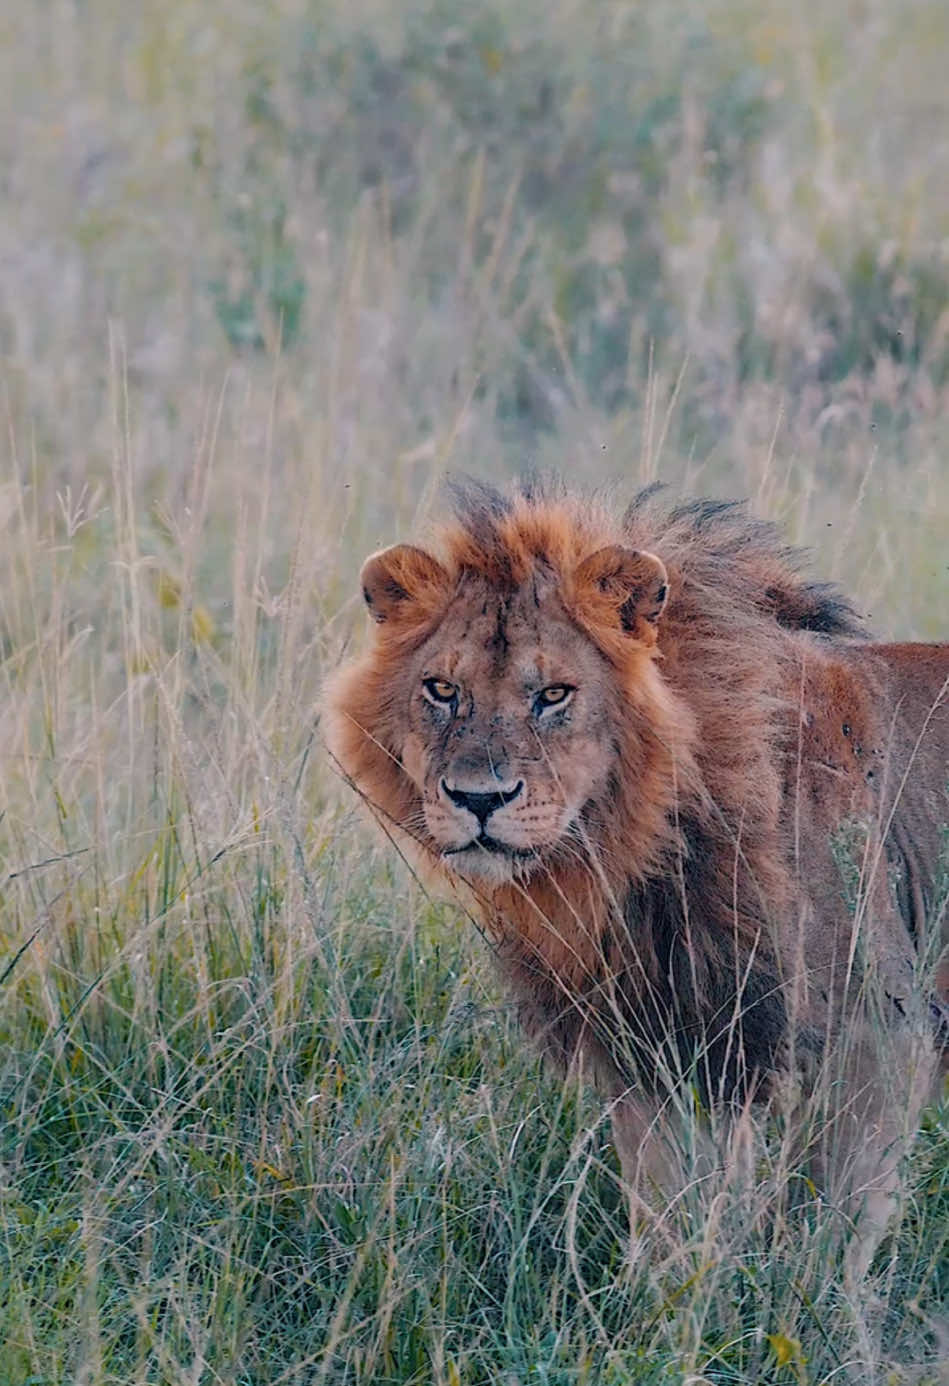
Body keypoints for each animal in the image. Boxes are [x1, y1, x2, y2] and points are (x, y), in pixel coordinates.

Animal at [324, 478, 948, 1276]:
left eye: (553, 695)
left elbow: (819, 1234)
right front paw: (666, 1304)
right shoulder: (655, 1038)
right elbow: (666, 1210)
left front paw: (800, 1306)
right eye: (440, 689)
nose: (478, 799)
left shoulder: (876, 1029)